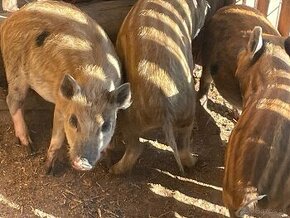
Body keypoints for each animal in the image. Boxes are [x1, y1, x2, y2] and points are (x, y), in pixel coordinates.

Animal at [0, 0, 131, 174]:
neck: (94, 84)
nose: (83, 162)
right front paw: (47, 170)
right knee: (13, 100)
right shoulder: (61, 103)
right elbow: (57, 138)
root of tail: (13, 16)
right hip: (14, 68)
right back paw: (29, 147)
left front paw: (109, 165)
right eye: (73, 120)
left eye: (106, 125)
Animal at [110, 0, 232, 175]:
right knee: (180, 145)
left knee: (137, 147)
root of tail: (164, 110)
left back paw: (113, 170)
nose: (209, 8)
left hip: (131, 116)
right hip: (185, 115)